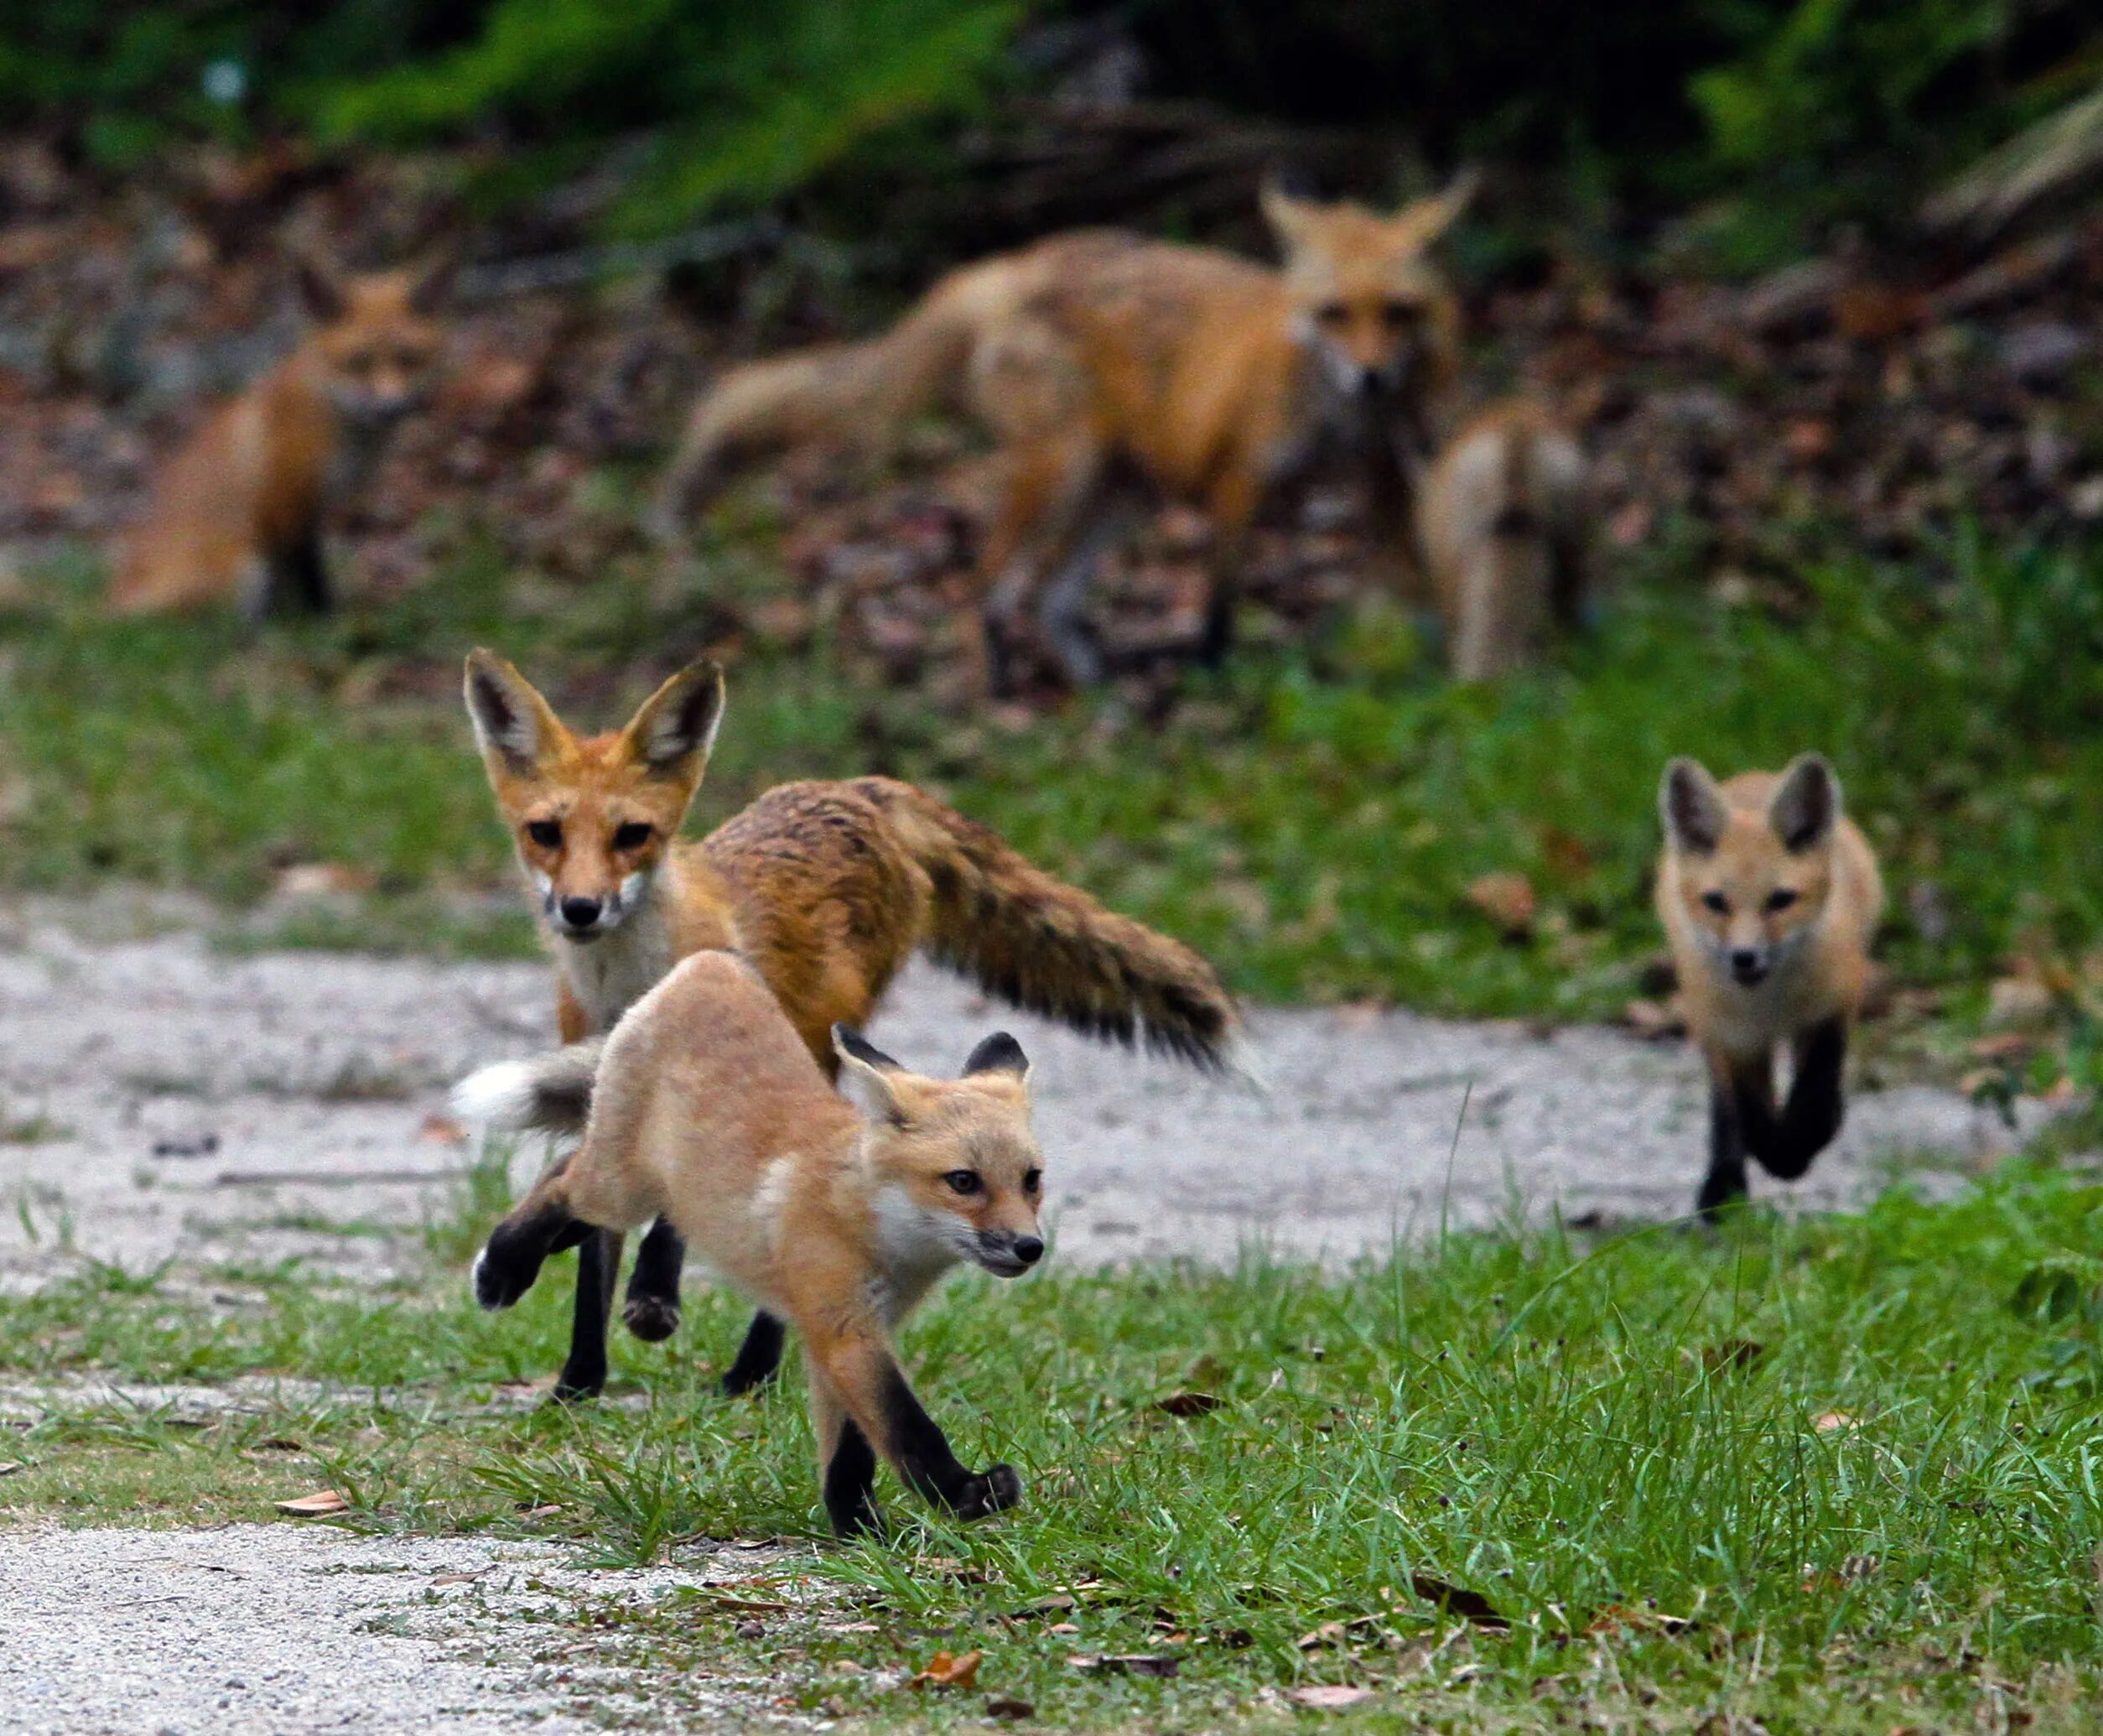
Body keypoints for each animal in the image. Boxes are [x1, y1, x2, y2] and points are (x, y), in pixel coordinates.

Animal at [108, 252, 445, 614]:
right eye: (358, 363)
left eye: (409, 359)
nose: (391, 407)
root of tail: (114, 604)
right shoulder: (286, 499)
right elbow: (309, 573)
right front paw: (322, 617)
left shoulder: (315, 509)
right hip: (245, 567)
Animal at [460, 647, 1244, 1397]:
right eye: (545, 833)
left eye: (633, 835)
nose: (581, 909)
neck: (632, 980)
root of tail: (860, 787)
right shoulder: (610, 1083)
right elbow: (596, 1248)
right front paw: (578, 1377)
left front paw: (646, 1293)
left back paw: (751, 1369)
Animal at [466, 955, 1042, 1540]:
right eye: (963, 1182)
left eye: (1031, 1181)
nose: (1031, 1247)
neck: (870, 1224)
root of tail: (711, 964)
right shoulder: (844, 1328)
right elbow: (906, 1427)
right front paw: (963, 1494)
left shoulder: (845, 1332)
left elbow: (851, 1449)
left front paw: (858, 1528)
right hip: (621, 1189)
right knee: (562, 1180)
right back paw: (502, 1269)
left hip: (655, 1189)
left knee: (572, 1187)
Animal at [647, 178, 1581, 689]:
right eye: (1335, 315)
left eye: (1399, 313)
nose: (1373, 376)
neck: (1329, 410)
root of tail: (1017, 265)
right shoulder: (1238, 480)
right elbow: (1219, 604)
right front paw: (1212, 677)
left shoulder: (1379, 477)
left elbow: (1407, 578)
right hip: (1065, 472)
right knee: (991, 584)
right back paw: (1007, 690)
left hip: (1120, 492)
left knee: (1049, 596)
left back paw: (1096, 685)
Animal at [1657, 757, 1893, 1220]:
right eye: (1716, 902)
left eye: (1781, 900)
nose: (1744, 957)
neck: (1770, 1006)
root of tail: (1753, 777)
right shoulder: (1734, 1036)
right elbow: (1750, 1116)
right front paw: (1778, 1157)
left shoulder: (1833, 1006)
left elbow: (1814, 1094)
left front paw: (1802, 1144)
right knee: (1725, 1111)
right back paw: (1723, 1186)